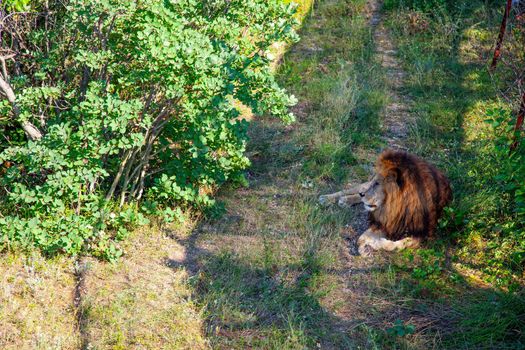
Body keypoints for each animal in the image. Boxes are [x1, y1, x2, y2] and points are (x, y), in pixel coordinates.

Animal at [318, 149, 452, 256]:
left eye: (377, 184)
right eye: (374, 182)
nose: (363, 194)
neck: (396, 207)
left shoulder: (422, 233)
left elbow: (397, 245)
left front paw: (374, 244)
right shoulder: (385, 221)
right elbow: (362, 237)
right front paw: (365, 245)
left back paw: (345, 201)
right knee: (352, 189)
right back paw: (327, 198)